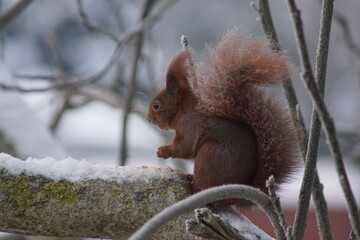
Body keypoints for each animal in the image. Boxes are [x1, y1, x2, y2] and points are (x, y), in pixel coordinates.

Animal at [146, 29, 300, 206]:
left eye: (156, 105)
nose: (148, 117)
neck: (183, 110)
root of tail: (234, 196)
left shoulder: (189, 126)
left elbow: (184, 147)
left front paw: (164, 150)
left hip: (210, 156)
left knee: (201, 186)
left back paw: (189, 183)